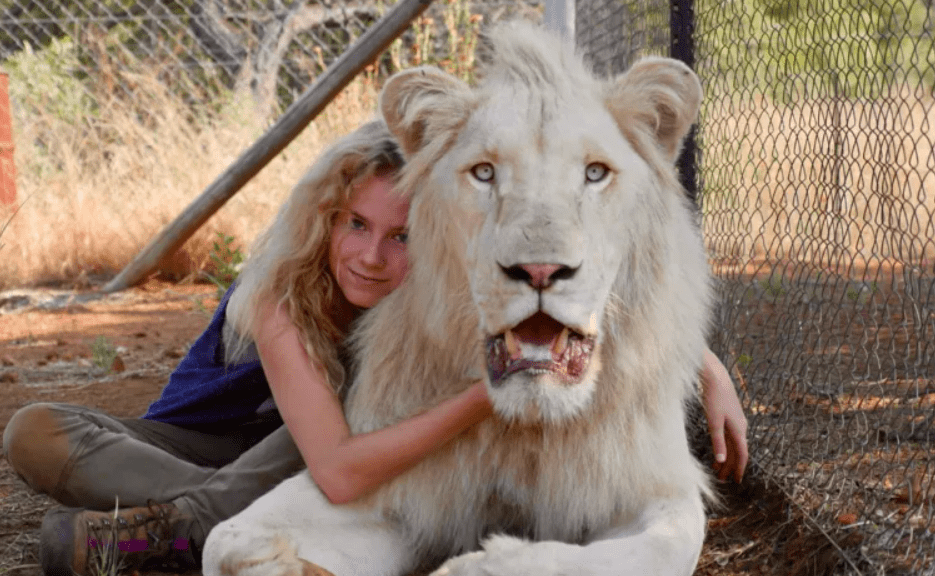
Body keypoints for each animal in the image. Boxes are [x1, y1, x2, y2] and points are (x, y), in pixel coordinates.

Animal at [202, 21, 713, 576]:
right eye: (484, 173)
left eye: (595, 173)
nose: (539, 270)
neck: (526, 425)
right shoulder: (391, 480)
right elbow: (225, 538)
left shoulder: (652, 485)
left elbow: (661, 543)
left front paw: (486, 563)